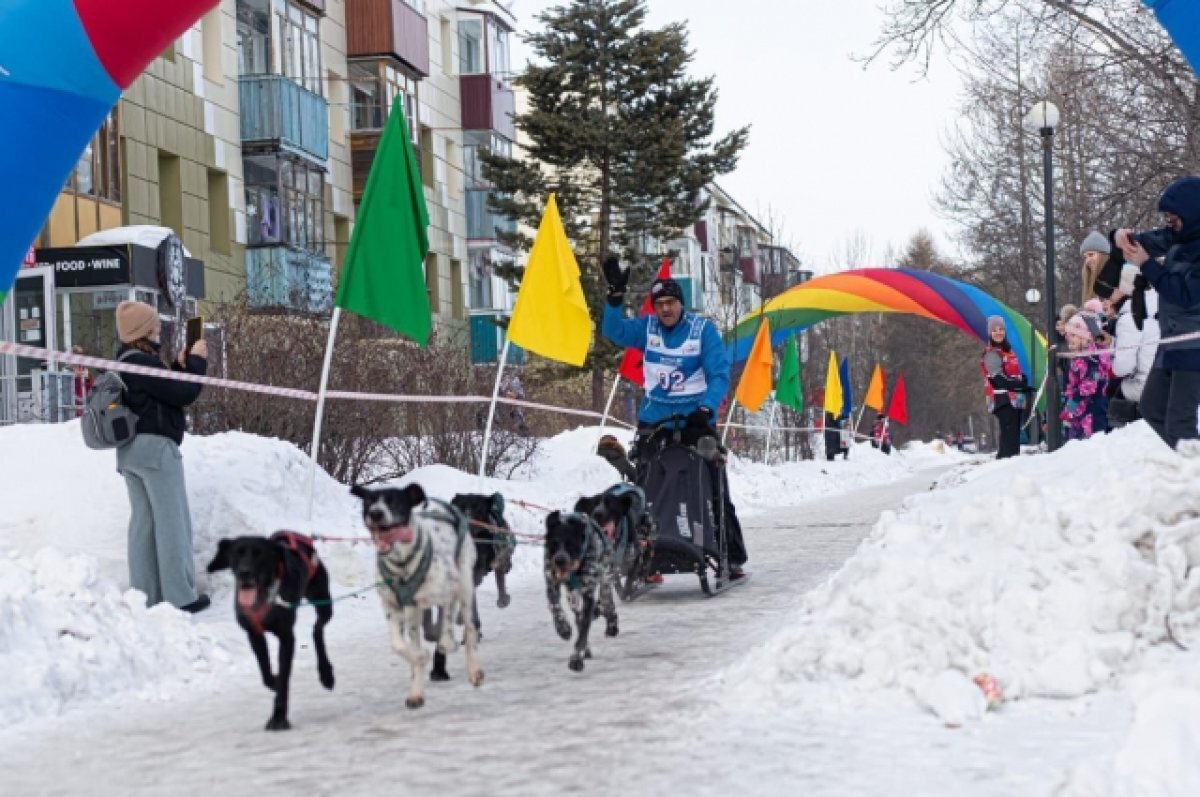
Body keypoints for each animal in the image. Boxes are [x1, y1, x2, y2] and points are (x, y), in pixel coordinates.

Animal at [350, 480, 482, 710]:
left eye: (394, 501)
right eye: (369, 502)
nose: (376, 513)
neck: (402, 565)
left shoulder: (449, 590)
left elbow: (445, 635)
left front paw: (447, 645)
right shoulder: (393, 606)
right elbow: (399, 646)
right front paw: (420, 659)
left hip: (465, 583)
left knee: (469, 626)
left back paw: (473, 668)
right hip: (413, 611)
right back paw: (416, 691)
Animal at [544, 511, 619, 672]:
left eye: (571, 543)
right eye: (554, 543)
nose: (559, 560)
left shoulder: (588, 595)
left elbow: (583, 631)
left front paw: (576, 659)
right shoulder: (551, 582)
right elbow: (555, 606)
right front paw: (563, 628)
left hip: (605, 580)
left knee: (608, 605)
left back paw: (612, 626)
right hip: (573, 598)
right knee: (578, 618)